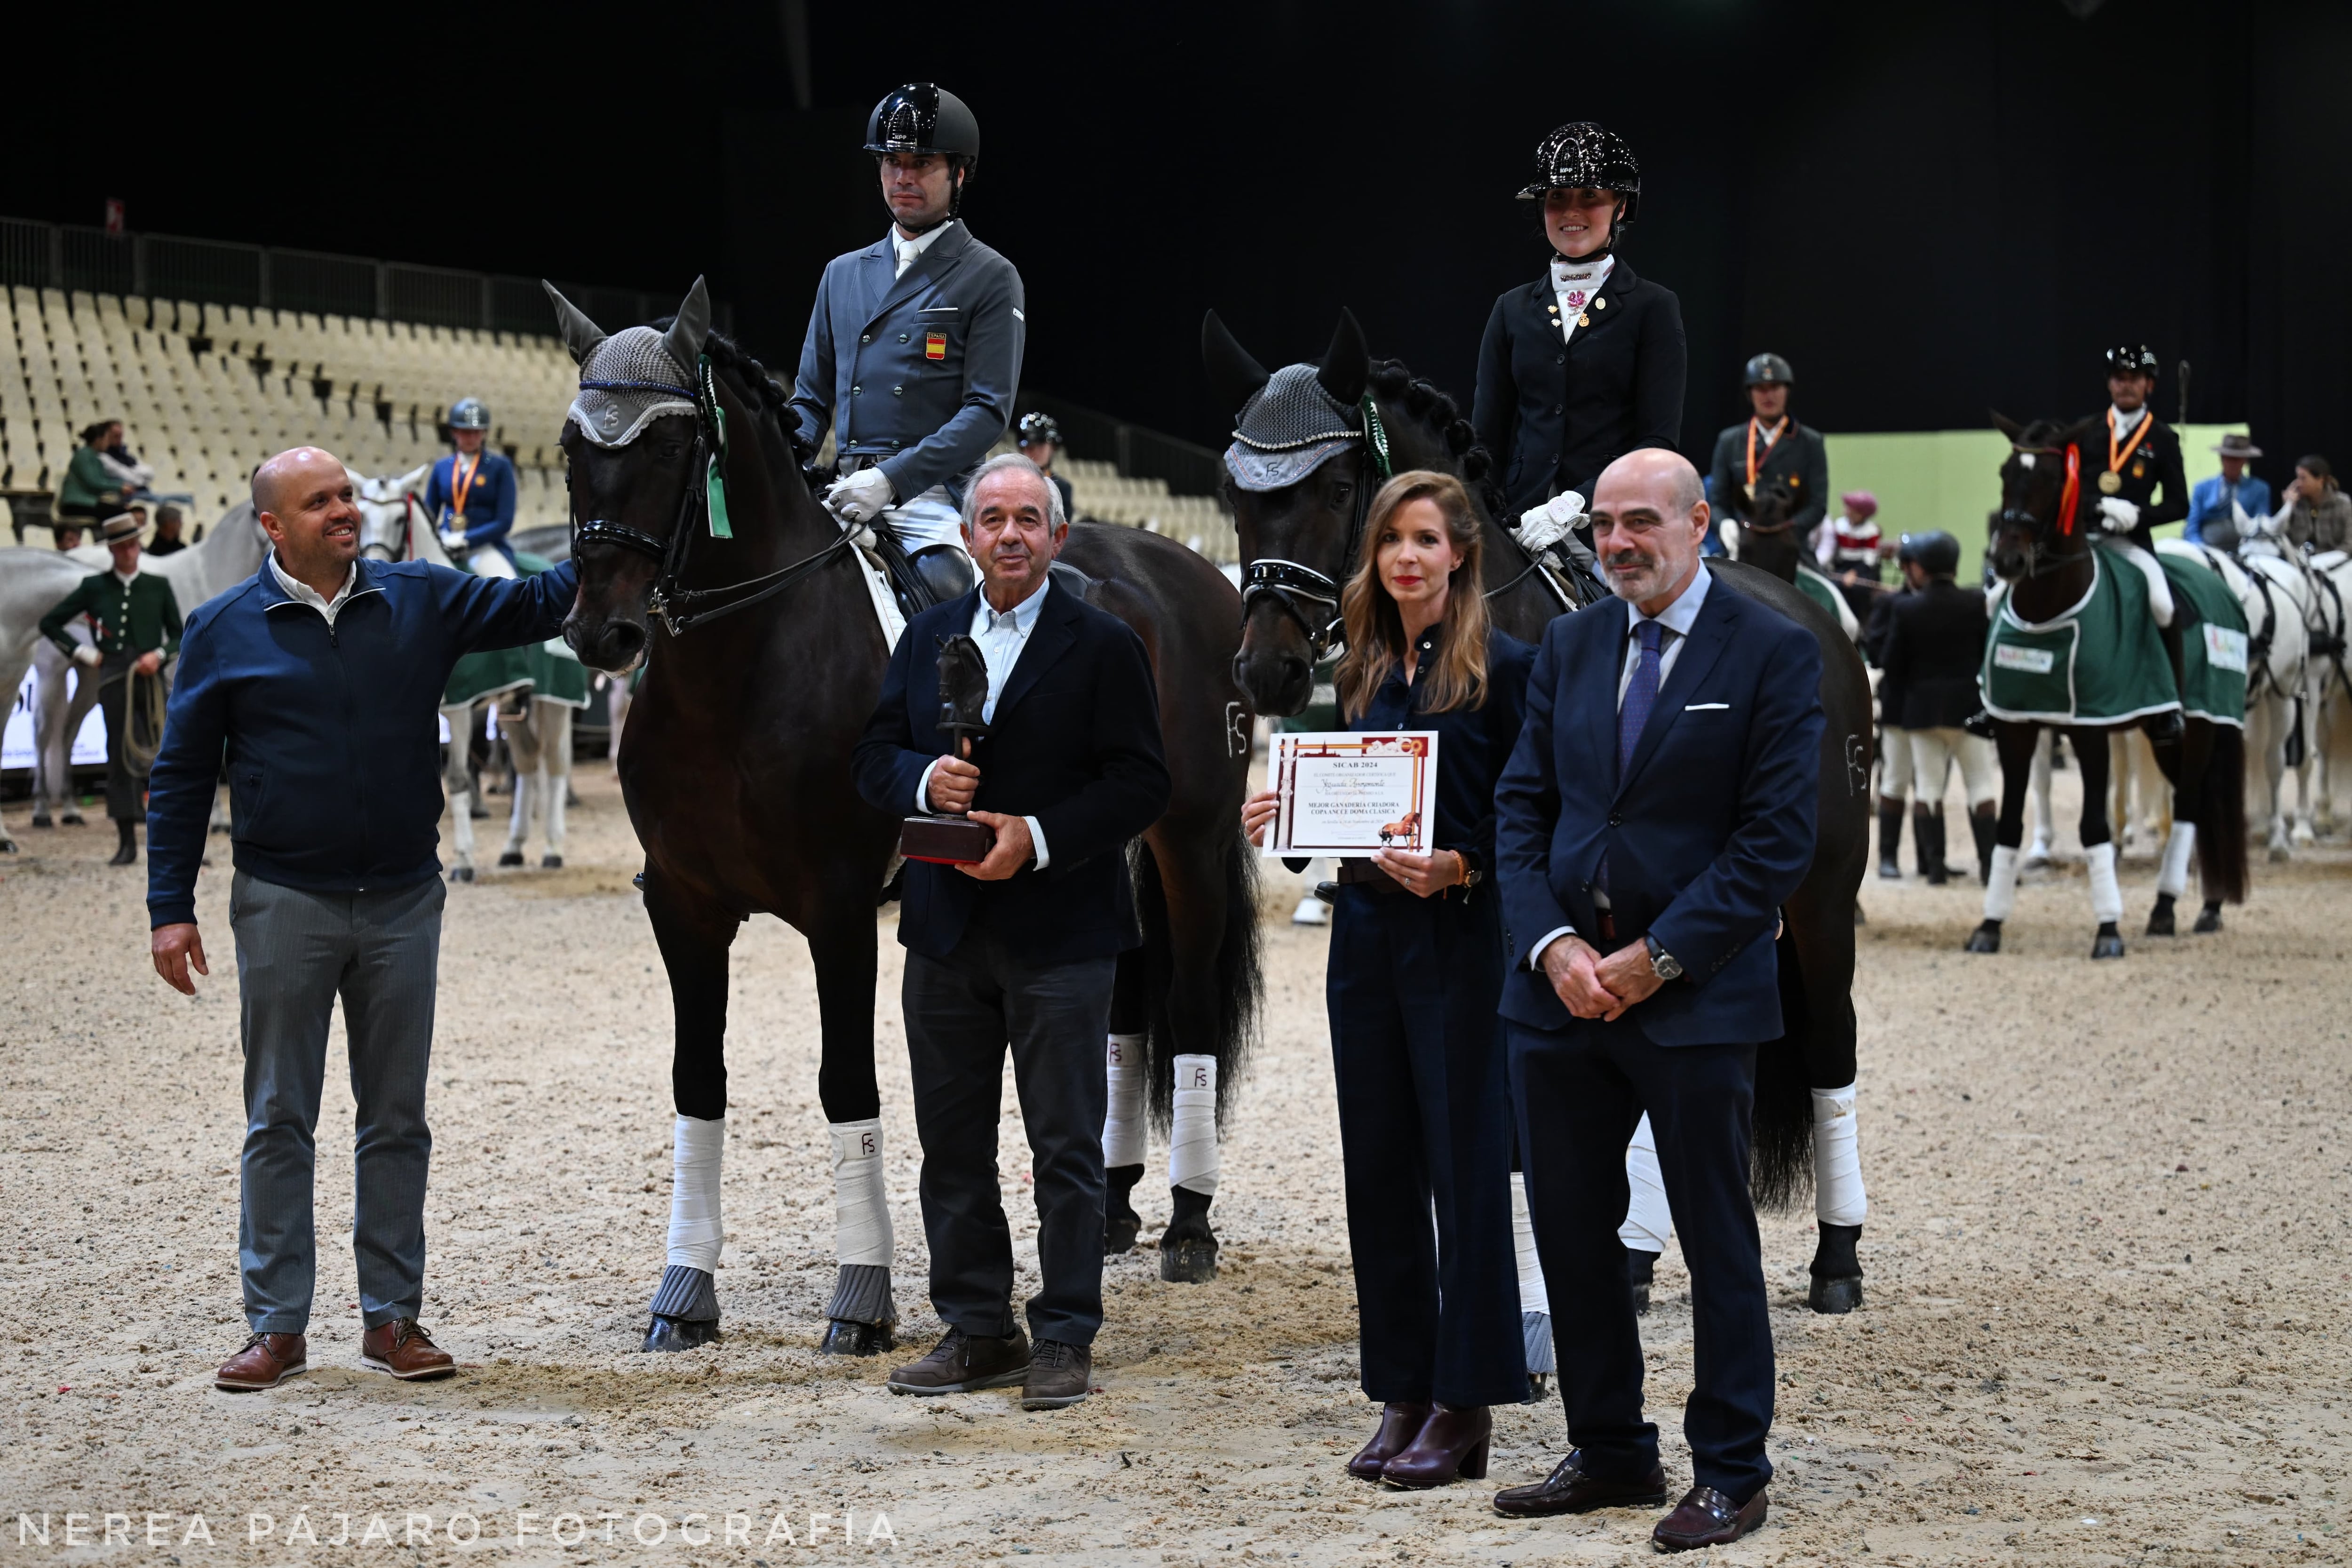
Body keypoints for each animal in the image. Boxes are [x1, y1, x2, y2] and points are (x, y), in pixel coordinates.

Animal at [553, 276, 1261, 1354]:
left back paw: (1187, 1223)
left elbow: (847, 1082)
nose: (603, 633)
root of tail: (1188, 569)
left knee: (1187, 1010)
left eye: (671, 451)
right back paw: (1111, 1211)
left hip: (1191, 837)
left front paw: (862, 1296)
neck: (738, 670)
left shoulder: (839, 908)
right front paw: (684, 1292)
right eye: (569, 449)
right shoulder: (682, 904)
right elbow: (696, 1081)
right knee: (1124, 1001)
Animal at [1214, 310, 1872, 1316]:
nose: (1267, 670)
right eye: (1233, 493)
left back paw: (1837, 1257)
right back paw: (1637, 1254)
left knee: (1831, 1047)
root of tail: (1817, 620)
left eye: (1334, 485)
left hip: (1822, 900)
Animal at [1966, 414, 2239, 959]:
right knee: (2195, 803)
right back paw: (2198, 906)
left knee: (2190, 805)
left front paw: (2108, 930)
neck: (2046, 610)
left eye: (2053, 480)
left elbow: (2093, 826)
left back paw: (2170, 908)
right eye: (2006, 473)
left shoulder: (2090, 728)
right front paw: (1989, 926)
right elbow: (2009, 824)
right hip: (2165, 741)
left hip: (2199, 728)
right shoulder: (2014, 727)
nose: (2007, 563)